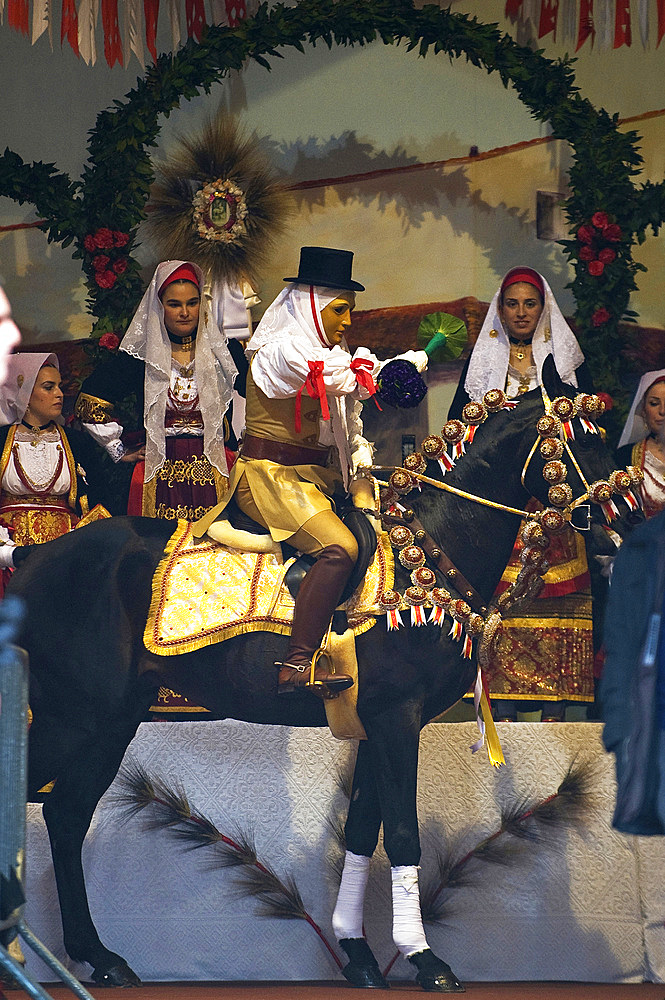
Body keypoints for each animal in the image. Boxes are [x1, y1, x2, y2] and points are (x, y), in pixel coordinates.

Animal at [9, 366, 632, 992]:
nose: (622, 524)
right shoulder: (397, 718)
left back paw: (99, 955)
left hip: (110, 722)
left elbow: (360, 832)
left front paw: (358, 954)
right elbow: (401, 833)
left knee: (65, 815)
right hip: (75, 717)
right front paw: (424, 958)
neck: (429, 548)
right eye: (578, 441)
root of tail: (36, 558)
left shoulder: (375, 724)